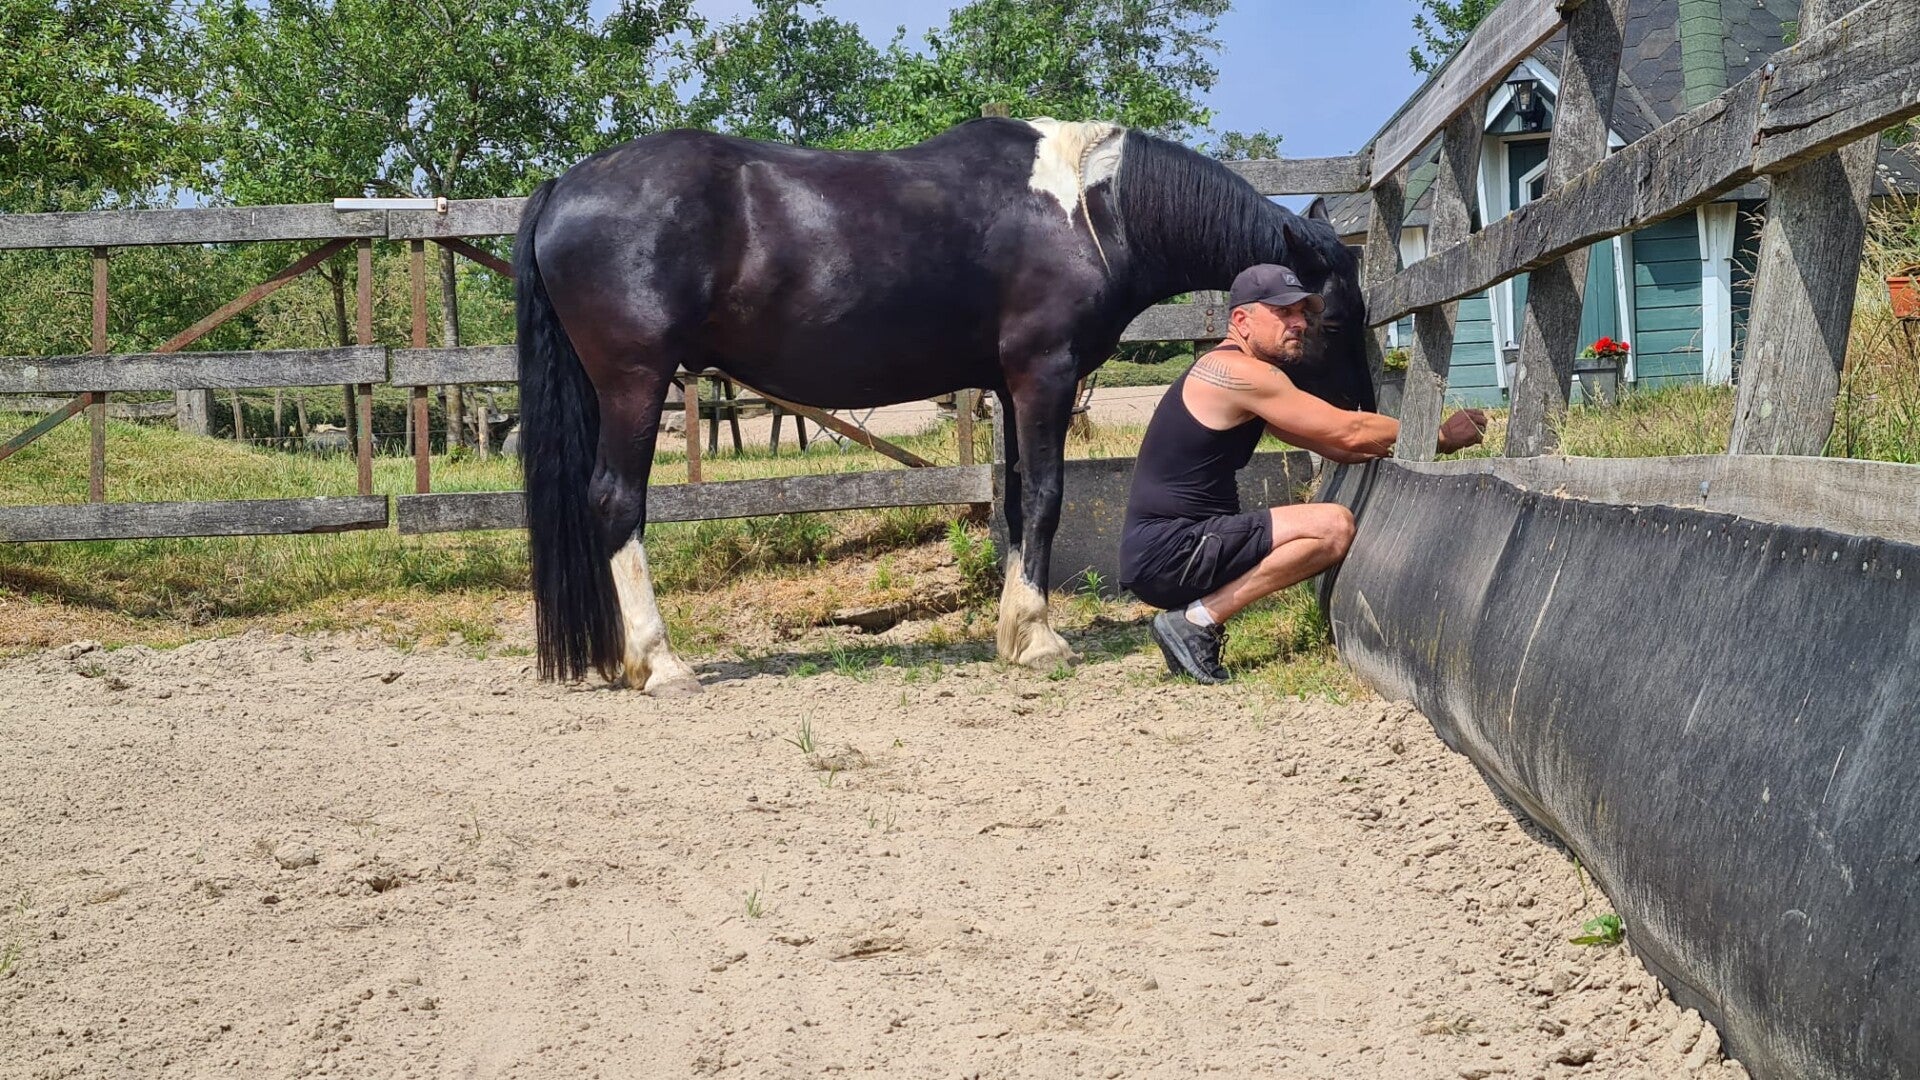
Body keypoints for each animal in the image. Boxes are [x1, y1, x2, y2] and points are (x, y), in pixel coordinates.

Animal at [514, 116, 1372, 694]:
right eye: (1331, 321)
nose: (1365, 416)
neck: (1087, 213)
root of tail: (565, 187)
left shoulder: (1011, 385)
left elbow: (1018, 498)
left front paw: (1014, 629)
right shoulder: (1043, 376)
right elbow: (1048, 498)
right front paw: (1039, 640)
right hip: (635, 379)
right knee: (616, 501)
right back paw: (659, 663)